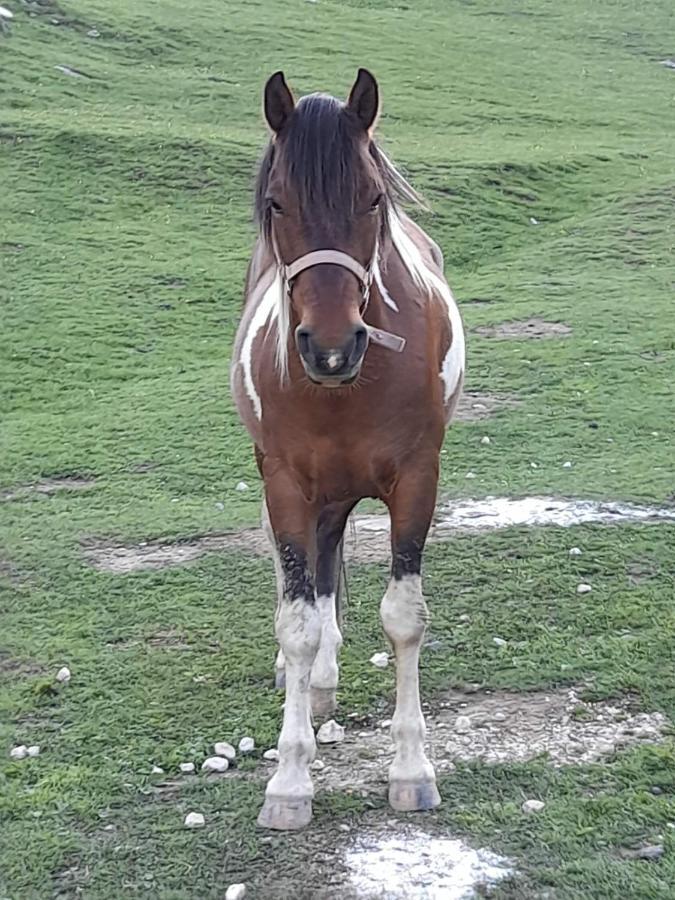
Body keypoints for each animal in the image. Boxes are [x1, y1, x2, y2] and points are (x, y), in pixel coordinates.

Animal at [231, 70, 464, 828]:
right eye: (277, 202)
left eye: (372, 198)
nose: (331, 348)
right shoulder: (284, 484)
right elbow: (297, 621)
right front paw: (289, 779)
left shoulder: (418, 479)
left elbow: (403, 618)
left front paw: (412, 769)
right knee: (303, 582)